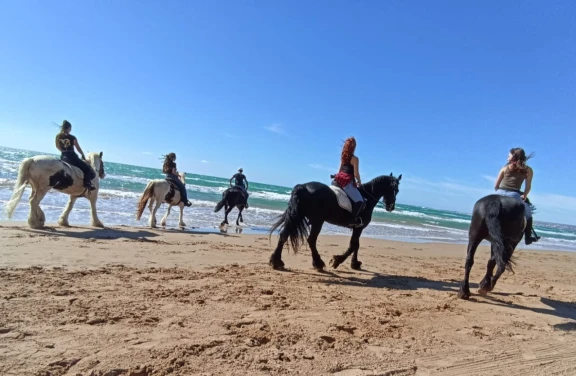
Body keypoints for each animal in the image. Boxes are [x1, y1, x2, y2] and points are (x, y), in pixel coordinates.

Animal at [268, 172, 400, 272]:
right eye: (394, 189)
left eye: (397, 190)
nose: (391, 207)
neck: (367, 198)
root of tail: (303, 186)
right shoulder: (359, 227)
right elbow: (353, 245)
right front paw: (337, 261)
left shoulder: (357, 227)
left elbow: (356, 245)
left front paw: (355, 264)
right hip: (317, 220)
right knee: (311, 240)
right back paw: (318, 263)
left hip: (299, 216)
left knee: (284, 235)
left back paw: (276, 261)